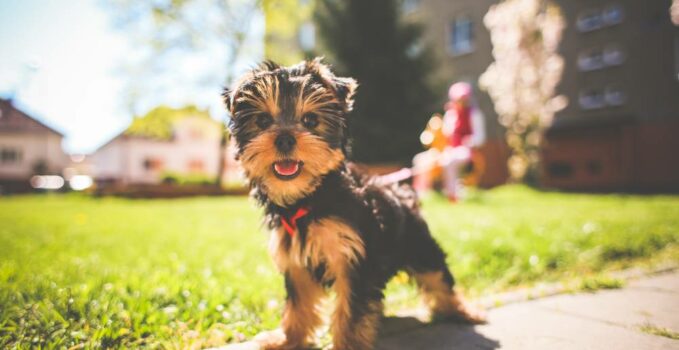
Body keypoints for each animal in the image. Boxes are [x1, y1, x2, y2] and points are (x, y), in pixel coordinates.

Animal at [224, 58, 484, 348]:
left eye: (310, 120)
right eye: (262, 120)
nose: (284, 138)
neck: (310, 199)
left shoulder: (353, 259)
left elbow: (351, 311)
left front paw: (347, 342)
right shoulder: (296, 261)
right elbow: (298, 305)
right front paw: (287, 339)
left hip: (418, 245)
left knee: (437, 274)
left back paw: (463, 310)